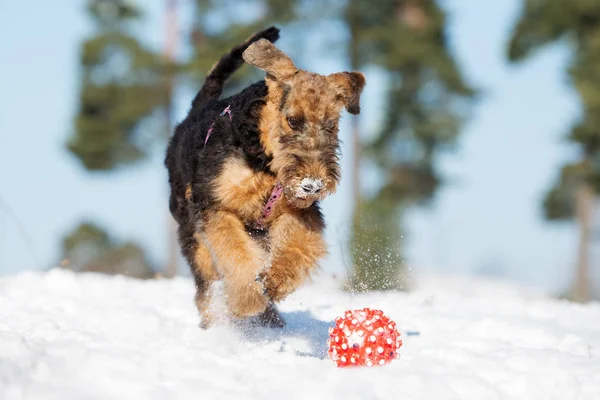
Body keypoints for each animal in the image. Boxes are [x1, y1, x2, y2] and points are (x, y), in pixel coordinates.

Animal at [165, 27, 366, 328]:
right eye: (293, 121)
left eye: (330, 124)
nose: (312, 185)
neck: (264, 158)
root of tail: (194, 112)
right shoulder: (215, 206)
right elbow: (236, 252)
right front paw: (249, 298)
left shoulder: (300, 213)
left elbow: (297, 247)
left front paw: (273, 282)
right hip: (192, 234)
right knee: (206, 285)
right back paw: (217, 322)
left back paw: (271, 318)